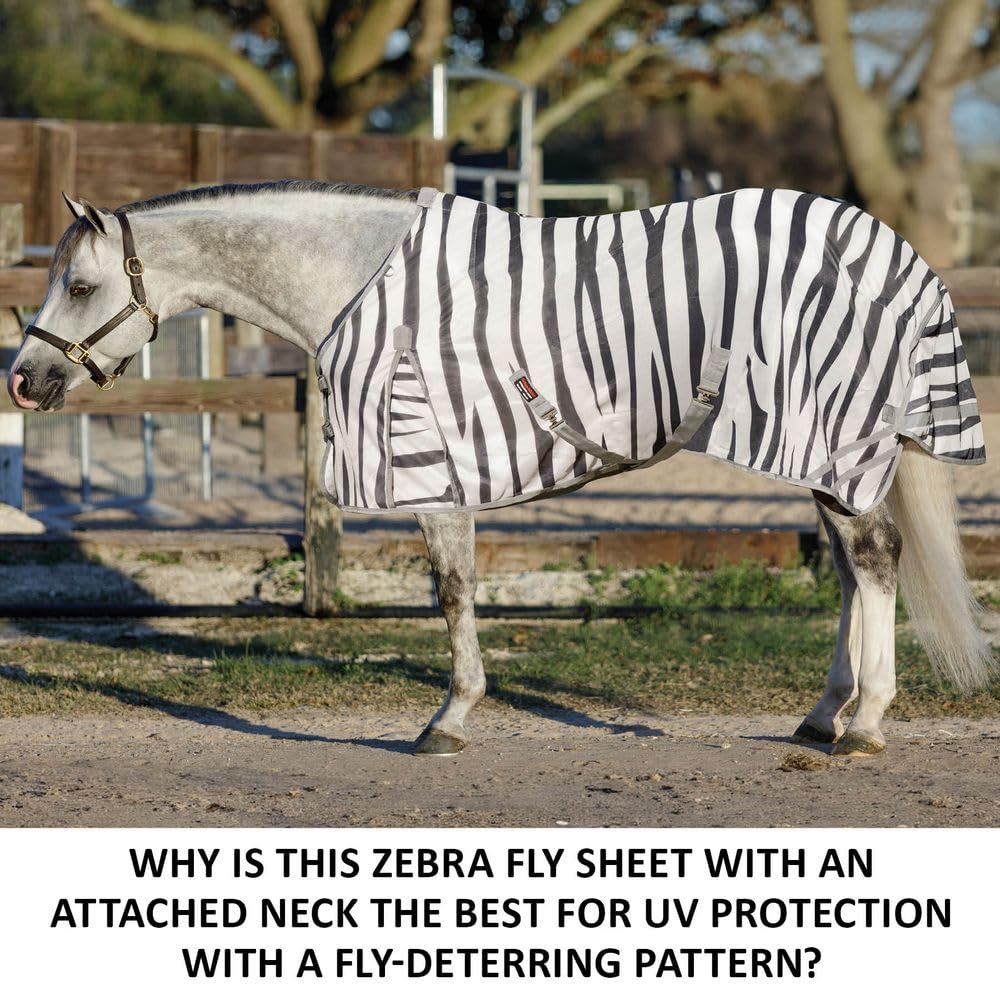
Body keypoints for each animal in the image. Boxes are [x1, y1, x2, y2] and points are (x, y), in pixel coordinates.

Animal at [7, 181, 994, 759]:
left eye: (82, 287)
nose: (22, 379)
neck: (360, 283)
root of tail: (890, 249)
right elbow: (454, 592)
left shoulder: (430, 465)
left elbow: (451, 593)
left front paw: (449, 720)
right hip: (816, 447)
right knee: (850, 569)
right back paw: (825, 714)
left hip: (834, 437)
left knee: (874, 560)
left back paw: (864, 725)